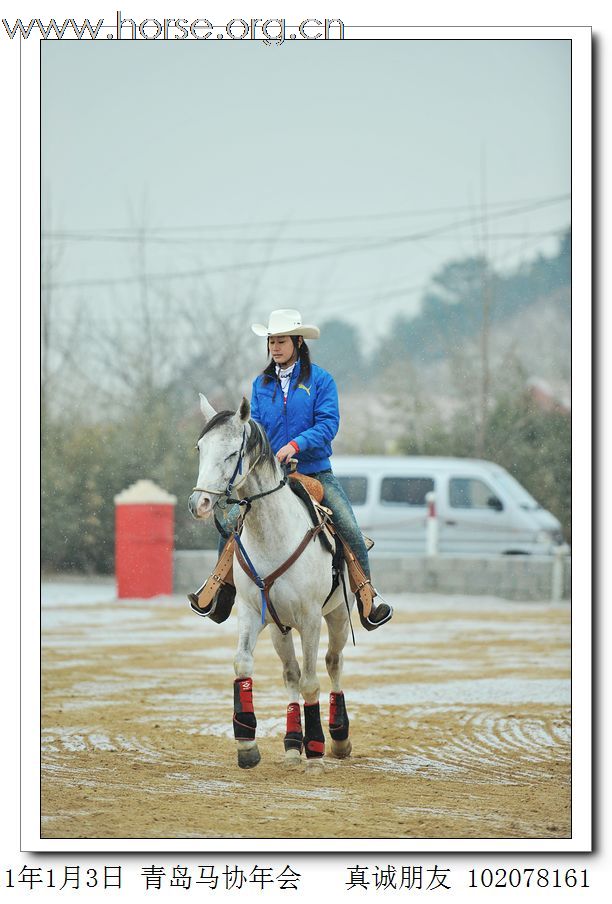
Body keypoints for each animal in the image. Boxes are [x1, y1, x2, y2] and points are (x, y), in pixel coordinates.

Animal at [190, 394, 354, 768]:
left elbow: (311, 682)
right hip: (281, 628)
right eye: (200, 448)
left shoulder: (310, 619)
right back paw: (293, 743)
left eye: (231, 454)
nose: (199, 503)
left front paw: (316, 751)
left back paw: (338, 739)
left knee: (332, 663)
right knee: (290, 672)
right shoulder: (254, 612)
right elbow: (243, 664)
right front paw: (247, 745)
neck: (273, 536)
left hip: (337, 616)